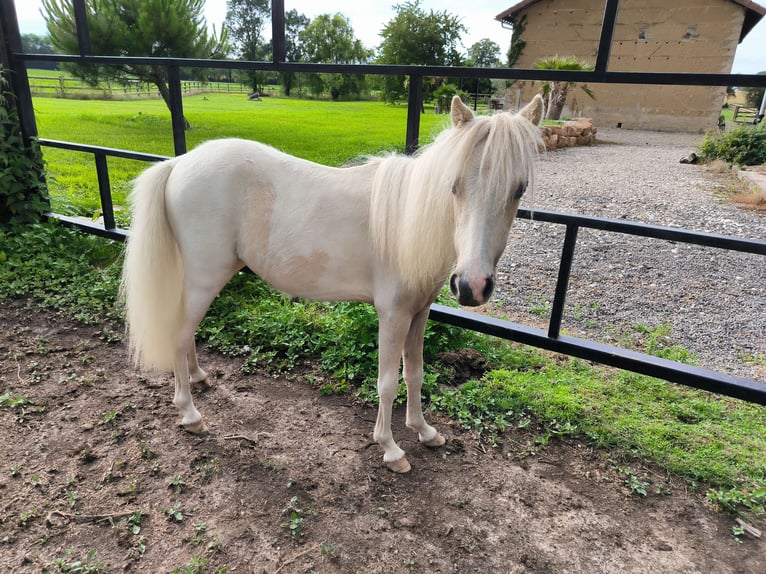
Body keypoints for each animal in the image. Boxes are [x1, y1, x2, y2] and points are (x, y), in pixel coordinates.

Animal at [120, 94, 543, 473]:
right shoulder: (392, 315)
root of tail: (179, 163)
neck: (408, 222)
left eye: (519, 189)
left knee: (187, 333)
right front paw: (390, 449)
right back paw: (190, 413)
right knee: (178, 334)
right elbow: (387, 382)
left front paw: (424, 431)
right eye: (453, 186)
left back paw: (199, 378)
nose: (472, 286)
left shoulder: (419, 312)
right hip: (204, 278)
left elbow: (416, 372)